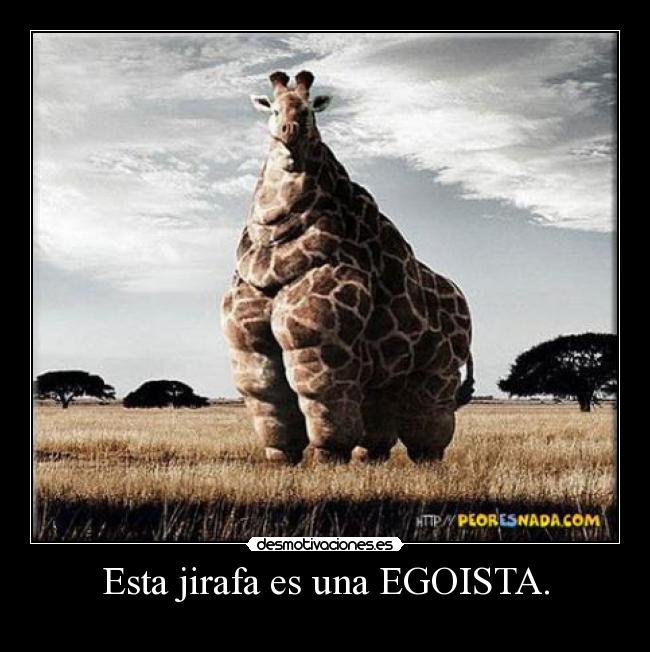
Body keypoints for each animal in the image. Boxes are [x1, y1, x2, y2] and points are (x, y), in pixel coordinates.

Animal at [221, 70, 474, 465]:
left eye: (310, 110)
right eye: (273, 109)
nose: (290, 133)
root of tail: (464, 303)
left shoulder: (319, 340)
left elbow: (322, 397)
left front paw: (329, 458)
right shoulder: (249, 345)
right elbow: (268, 395)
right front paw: (281, 458)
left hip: (438, 365)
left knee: (429, 418)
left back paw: (426, 460)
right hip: (389, 372)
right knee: (380, 420)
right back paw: (371, 458)